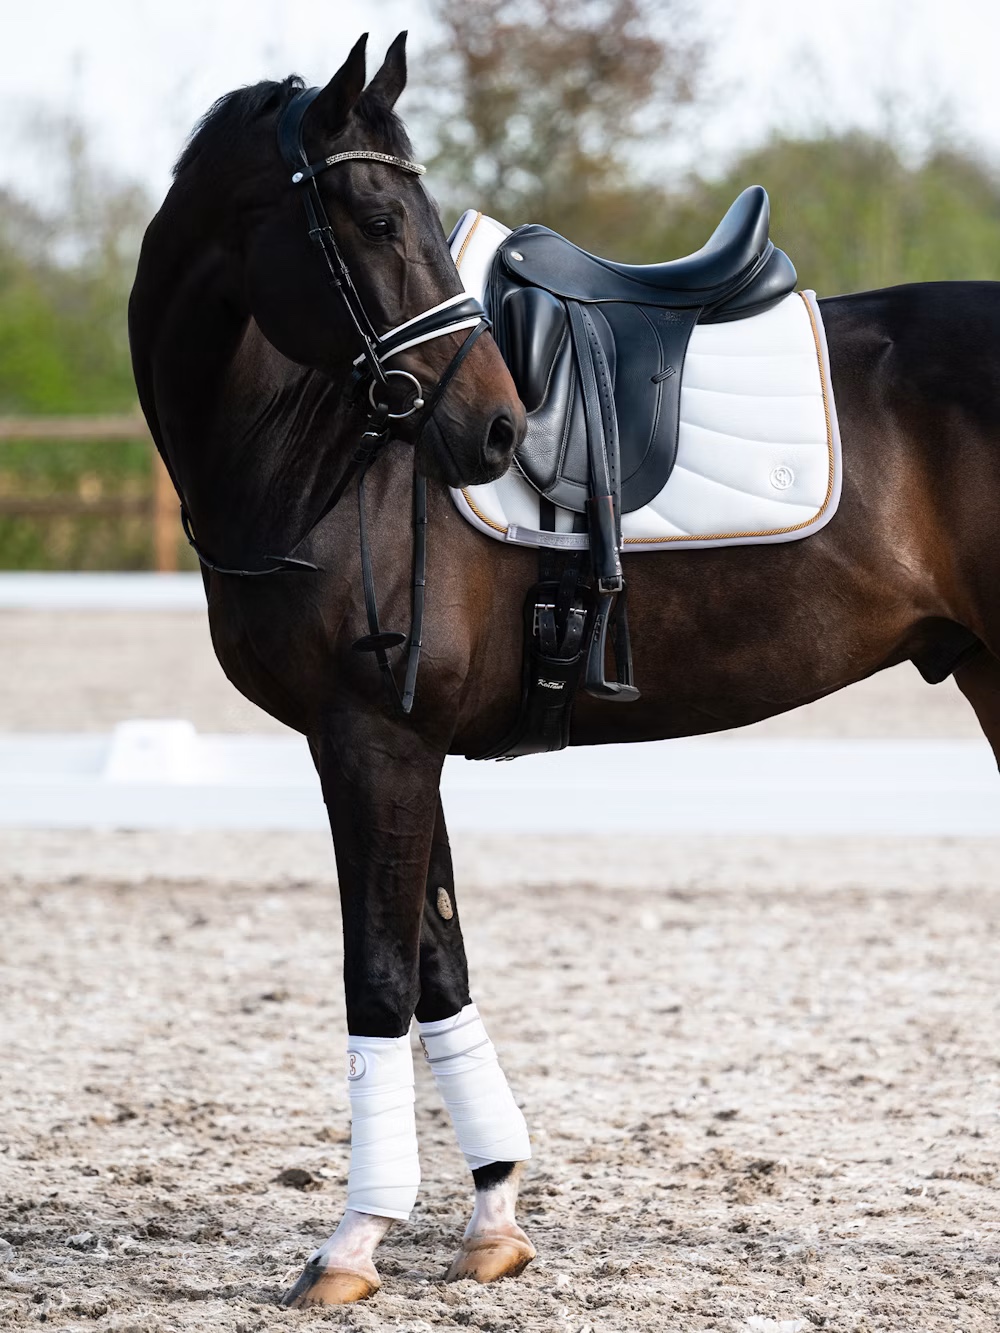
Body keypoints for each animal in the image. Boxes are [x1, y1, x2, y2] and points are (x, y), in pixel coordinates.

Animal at [129, 31, 1000, 1308]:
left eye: (406, 213)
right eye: (372, 216)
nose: (497, 429)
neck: (322, 454)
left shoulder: (371, 739)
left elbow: (376, 975)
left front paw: (353, 1240)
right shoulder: (400, 743)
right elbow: (439, 966)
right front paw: (491, 1214)